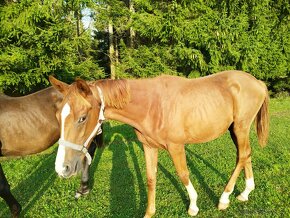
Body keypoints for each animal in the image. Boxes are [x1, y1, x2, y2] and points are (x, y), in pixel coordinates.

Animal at [48, 70, 268, 217]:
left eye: (82, 118)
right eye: (58, 116)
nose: (62, 168)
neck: (151, 106)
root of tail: (257, 82)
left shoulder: (176, 147)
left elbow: (183, 174)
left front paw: (193, 206)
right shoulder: (149, 147)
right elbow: (150, 178)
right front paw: (149, 212)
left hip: (240, 127)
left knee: (242, 156)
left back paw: (224, 199)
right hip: (235, 130)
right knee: (246, 154)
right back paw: (245, 193)